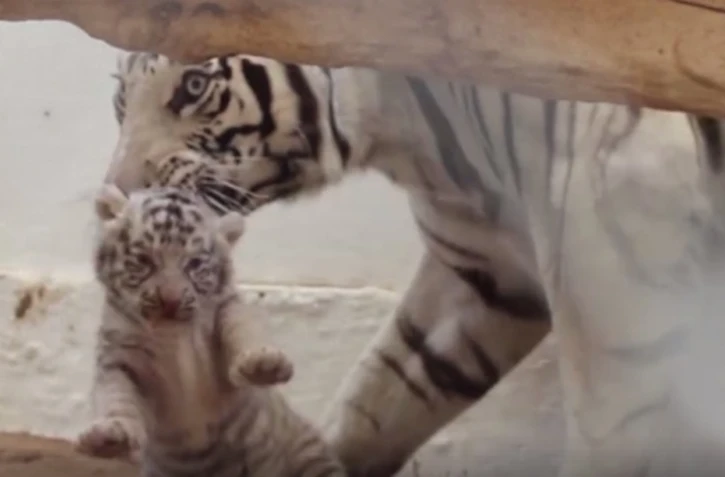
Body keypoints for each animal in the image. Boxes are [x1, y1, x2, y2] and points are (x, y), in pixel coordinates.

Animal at [77, 183, 347, 477]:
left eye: (194, 264)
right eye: (144, 259)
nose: (170, 301)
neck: (172, 338)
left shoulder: (227, 308)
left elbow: (243, 326)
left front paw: (263, 363)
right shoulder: (118, 355)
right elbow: (116, 393)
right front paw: (111, 435)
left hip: (307, 450)